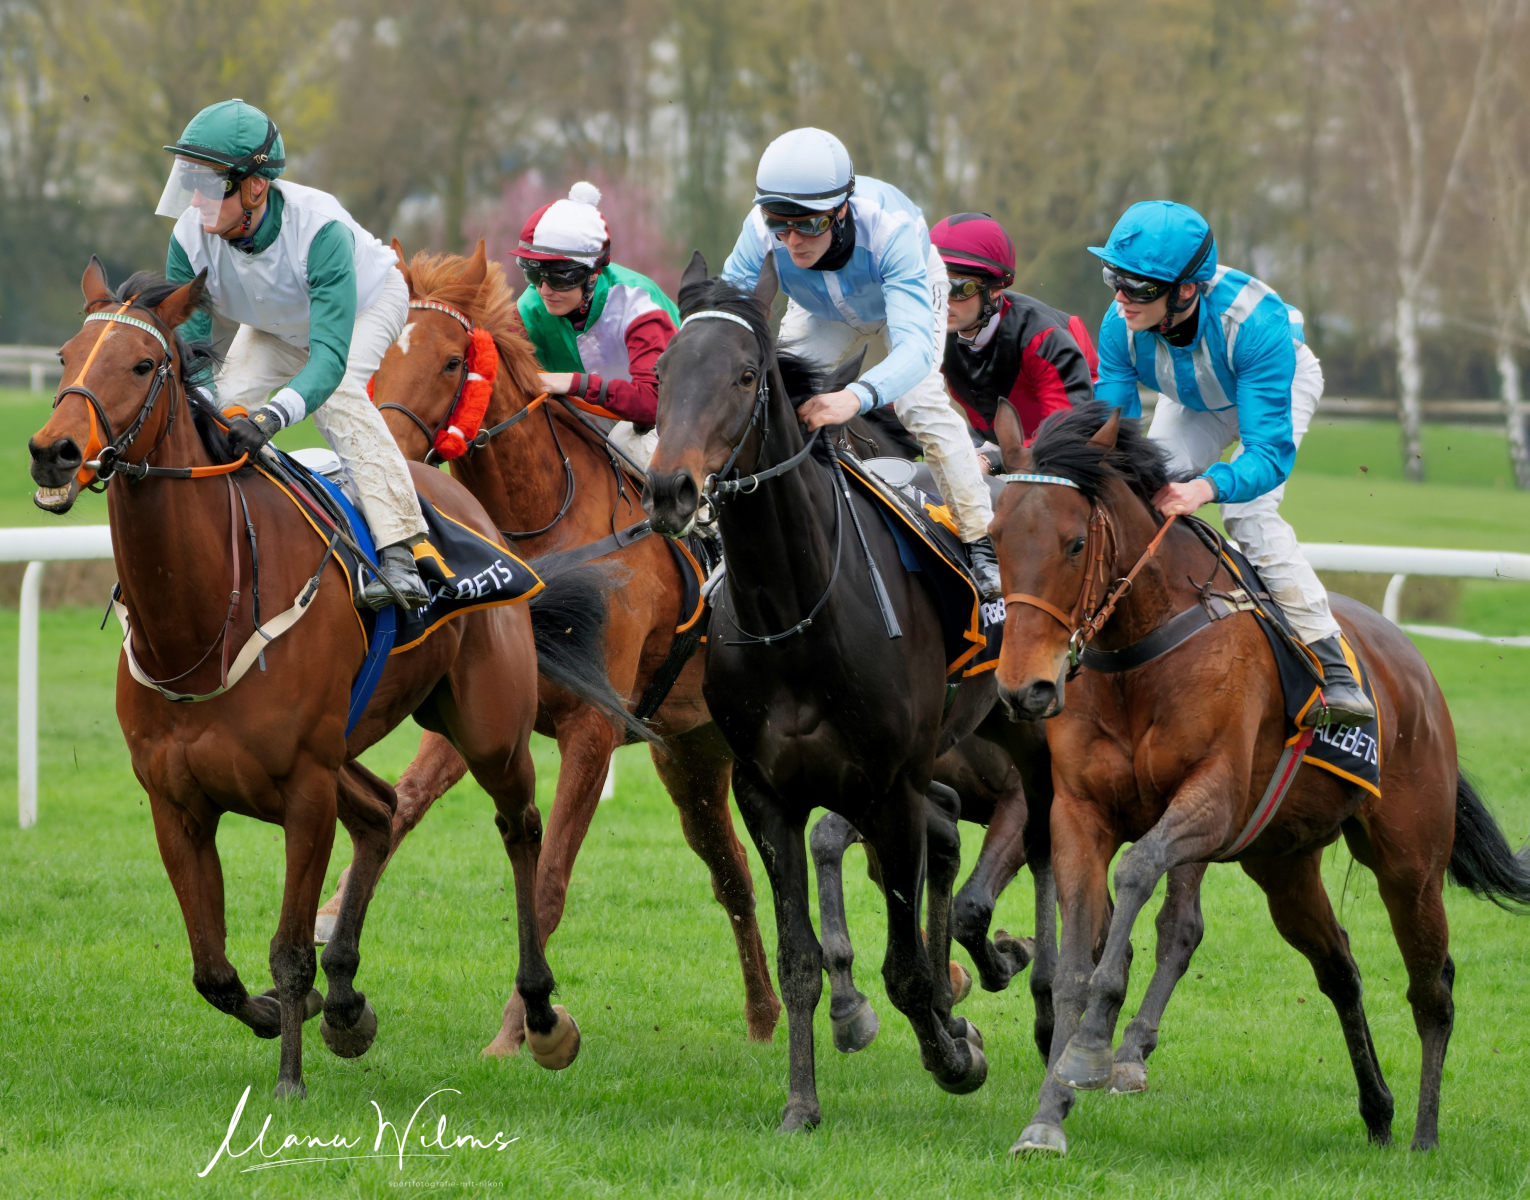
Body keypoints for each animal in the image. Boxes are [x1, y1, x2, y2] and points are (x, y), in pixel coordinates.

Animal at [27, 260, 579, 1098]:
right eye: (64, 356)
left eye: (144, 364)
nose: (52, 451)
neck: (204, 616)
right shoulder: (175, 800)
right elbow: (212, 970)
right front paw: (300, 1009)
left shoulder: (305, 790)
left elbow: (288, 950)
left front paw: (289, 1078)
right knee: (383, 812)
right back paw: (349, 999)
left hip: (488, 729)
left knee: (520, 828)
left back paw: (542, 1013)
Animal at [327, 240, 781, 1055]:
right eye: (378, 355)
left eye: (452, 361)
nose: (381, 461)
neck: (544, 539)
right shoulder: (477, 714)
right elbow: (404, 805)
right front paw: (327, 922)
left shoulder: (592, 728)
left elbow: (549, 880)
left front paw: (521, 1030)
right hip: (691, 752)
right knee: (731, 871)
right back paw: (765, 1017)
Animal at [643, 253, 995, 1130]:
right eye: (662, 373)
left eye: (743, 374)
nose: (669, 489)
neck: (795, 613)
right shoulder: (766, 792)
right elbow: (797, 956)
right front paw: (801, 1101)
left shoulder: (885, 786)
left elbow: (902, 967)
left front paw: (952, 1058)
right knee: (946, 829)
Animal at [990, 403, 1530, 1155]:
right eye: (994, 537)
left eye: (1073, 545)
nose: (1025, 690)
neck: (1138, 651)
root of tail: (1414, 667)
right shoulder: (1077, 813)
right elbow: (1074, 964)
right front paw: (1047, 1116)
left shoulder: (1211, 802)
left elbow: (1138, 873)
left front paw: (1095, 1047)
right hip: (1284, 865)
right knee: (1340, 968)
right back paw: (1379, 1110)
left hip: (1410, 861)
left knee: (1433, 987)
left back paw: (1424, 1137)